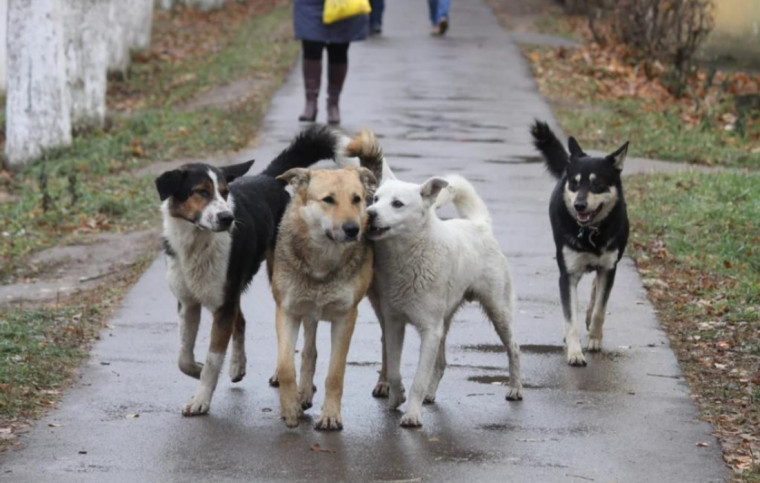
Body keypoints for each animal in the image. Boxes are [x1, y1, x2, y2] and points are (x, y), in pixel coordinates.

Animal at [156, 125, 346, 416]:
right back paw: (237, 366)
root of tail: (268, 179)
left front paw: (201, 399)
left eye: (225, 192)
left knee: (297, 334)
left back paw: (291, 381)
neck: (197, 242)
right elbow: (183, 357)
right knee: (242, 321)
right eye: (201, 192)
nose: (227, 218)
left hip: (280, 278)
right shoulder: (189, 302)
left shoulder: (223, 304)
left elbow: (213, 360)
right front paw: (197, 369)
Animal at [272, 167, 376, 432]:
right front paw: (290, 409)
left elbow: (335, 374)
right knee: (309, 351)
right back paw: (304, 393)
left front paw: (330, 416)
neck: (323, 260)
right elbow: (286, 366)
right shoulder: (287, 310)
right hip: (308, 311)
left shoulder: (345, 317)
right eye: (328, 199)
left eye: (356, 199)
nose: (353, 229)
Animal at [366, 173, 524, 428]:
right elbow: (394, 370)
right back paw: (430, 395)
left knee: (514, 349)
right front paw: (397, 397)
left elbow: (419, 379)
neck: (406, 257)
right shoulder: (394, 324)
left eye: (397, 204)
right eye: (375, 199)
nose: (369, 213)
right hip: (444, 322)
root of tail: (480, 225)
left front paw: (412, 415)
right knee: (440, 364)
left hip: (498, 311)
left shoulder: (429, 330)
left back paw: (516, 388)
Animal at [528, 121, 628, 366]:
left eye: (597, 184)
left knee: (595, 290)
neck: (590, 232)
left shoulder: (609, 267)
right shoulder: (568, 274)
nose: (579, 205)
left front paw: (594, 338)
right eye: (574, 184)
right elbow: (570, 318)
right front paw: (575, 353)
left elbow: (600, 309)